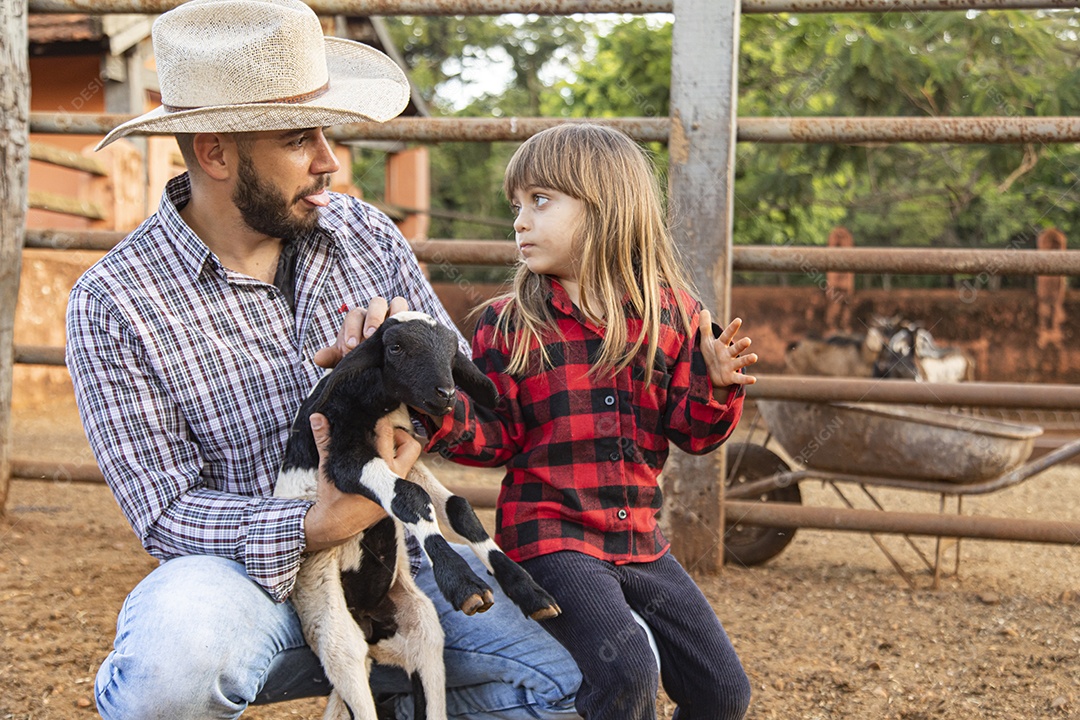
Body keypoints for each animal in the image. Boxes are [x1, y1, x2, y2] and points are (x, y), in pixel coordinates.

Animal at [274, 313, 561, 720]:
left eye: (452, 351)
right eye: (395, 347)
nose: (447, 394)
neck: (372, 401)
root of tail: (368, 625)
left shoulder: (405, 454)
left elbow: (458, 507)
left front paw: (528, 590)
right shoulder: (343, 458)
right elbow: (410, 498)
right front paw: (463, 582)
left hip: (419, 629)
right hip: (329, 624)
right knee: (347, 662)